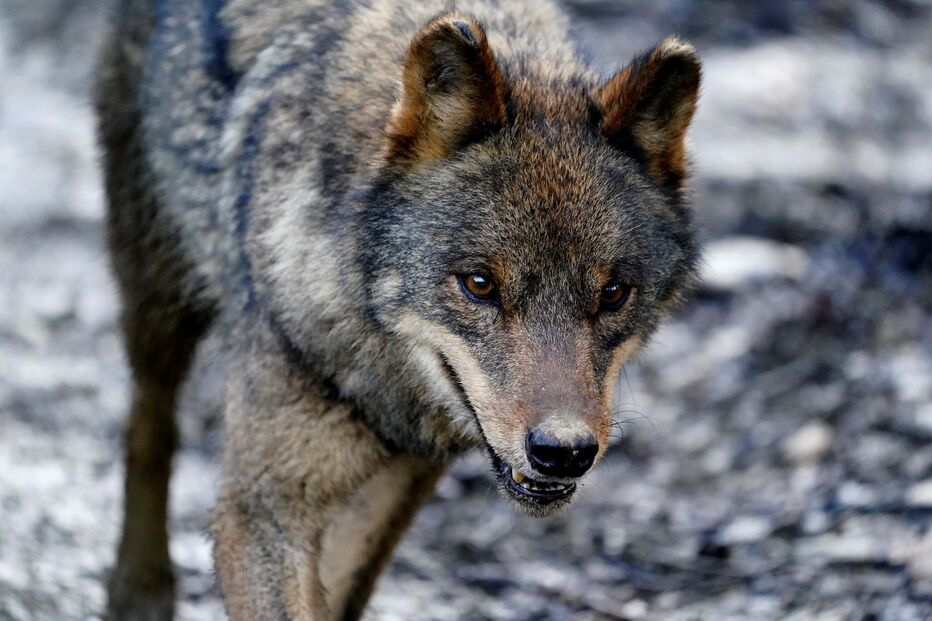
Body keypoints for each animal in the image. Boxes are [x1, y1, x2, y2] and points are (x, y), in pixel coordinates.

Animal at [95, 0, 701, 618]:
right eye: (480, 284)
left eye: (613, 293)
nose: (564, 452)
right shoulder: (264, 508)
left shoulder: (409, 471)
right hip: (156, 296)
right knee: (150, 425)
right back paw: (139, 587)